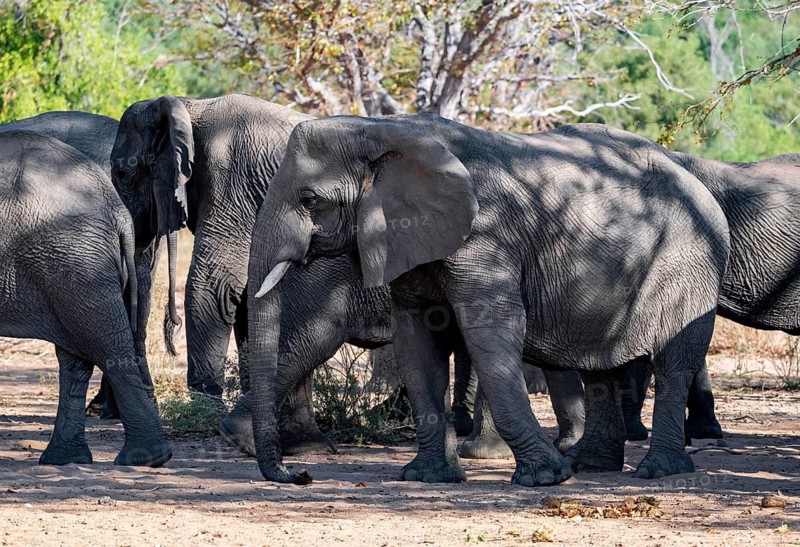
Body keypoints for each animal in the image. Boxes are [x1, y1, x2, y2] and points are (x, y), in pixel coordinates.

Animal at [0, 130, 171, 467]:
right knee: (77, 355)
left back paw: (146, 458)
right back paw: (65, 459)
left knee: (104, 344)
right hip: (72, 263)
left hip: (74, 258)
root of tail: (116, 209)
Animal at [246, 115, 729, 486]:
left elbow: (491, 335)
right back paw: (591, 467)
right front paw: (427, 478)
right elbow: (417, 345)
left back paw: (658, 472)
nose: (301, 475)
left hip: (689, 264)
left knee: (674, 361)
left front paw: (544, 479)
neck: (383, 131)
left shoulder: (485, 239)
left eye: (310, 199)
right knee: (602, 368)